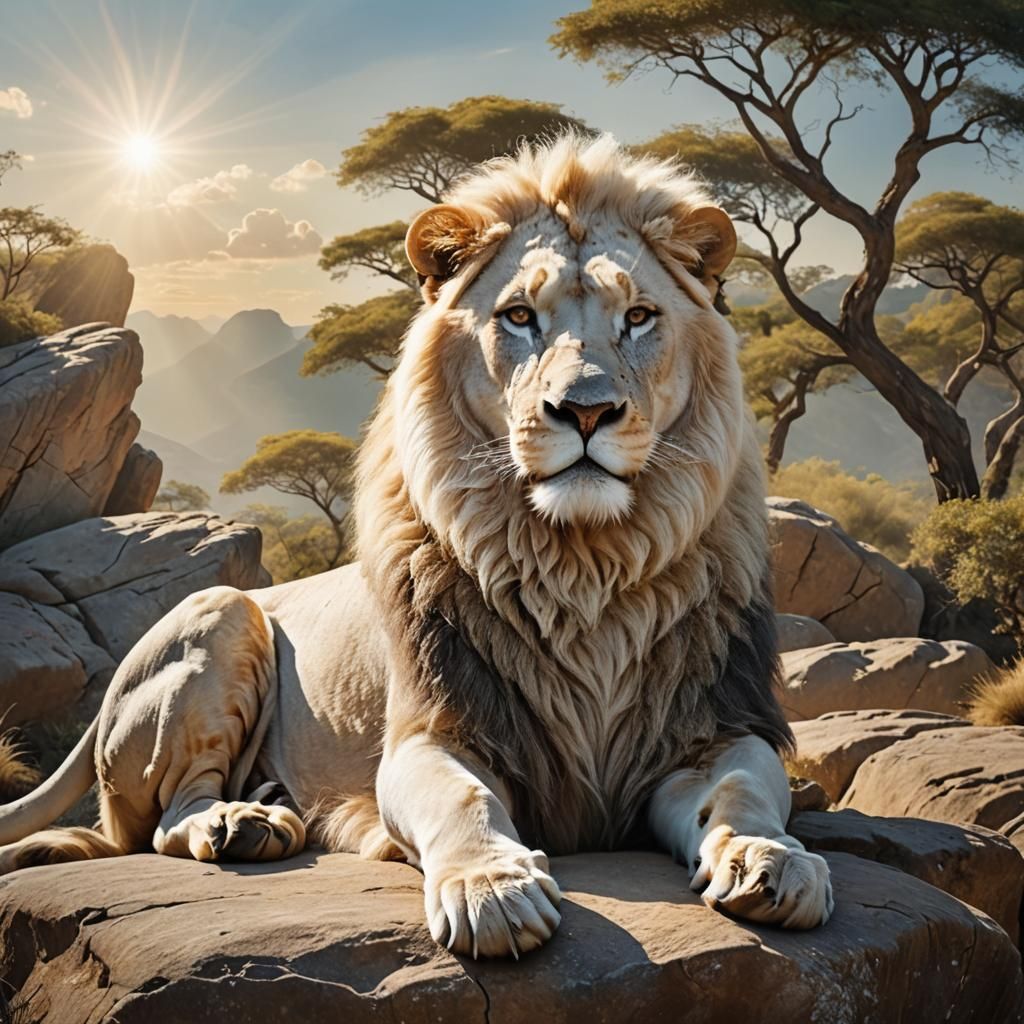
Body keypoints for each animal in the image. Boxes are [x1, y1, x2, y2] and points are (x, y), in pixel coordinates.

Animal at [0, 134, 832, 957]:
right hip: (219, 611)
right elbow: (463, 799)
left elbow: (744, 790)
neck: (582, 567)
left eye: (638, 315)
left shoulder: (716, 725)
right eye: (520, 316)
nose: (586, 410)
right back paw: (241, 823)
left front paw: (772, 860)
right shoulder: (431, 731)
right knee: (160, 821)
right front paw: (490, 888)